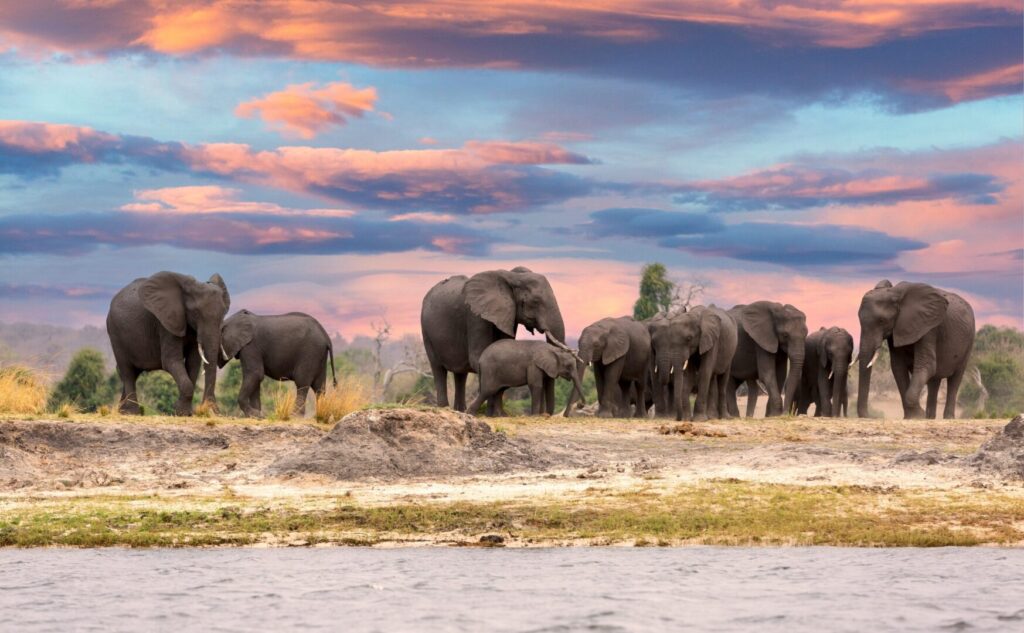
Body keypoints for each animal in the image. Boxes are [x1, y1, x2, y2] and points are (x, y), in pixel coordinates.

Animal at [106, 271, 230, 416]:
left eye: (223, 314)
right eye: (195, 313)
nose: (210, 410)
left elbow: (193, 363)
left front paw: (186, 412)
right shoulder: (166, 323)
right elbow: (171, 361)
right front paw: (181, 412)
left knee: (131, 372)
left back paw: (122, 411)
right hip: (115, 333)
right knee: (127, 371)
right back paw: (132, 413)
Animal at [421, 267, 566, 413]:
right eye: (535, 301)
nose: (546, 414)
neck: (512, 277)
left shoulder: (508, 315)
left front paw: (495, 413)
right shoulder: (475, 315)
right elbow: (478, 357)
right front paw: (493, 413)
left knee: (460, 374)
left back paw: (460, 410)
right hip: (426, 332)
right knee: (438, 369)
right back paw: (444, 408)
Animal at [856, 280, 975, 419]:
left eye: (881, 321)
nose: (870, 416)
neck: (895, 293)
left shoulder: (928, 327)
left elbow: (926, 365)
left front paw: (918, 415)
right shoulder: (898, 328)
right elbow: (898, 367)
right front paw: (913, 416)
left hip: (969, 342)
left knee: (955, 379)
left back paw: (947, 417)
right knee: (934, 381)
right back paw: (930, 417)